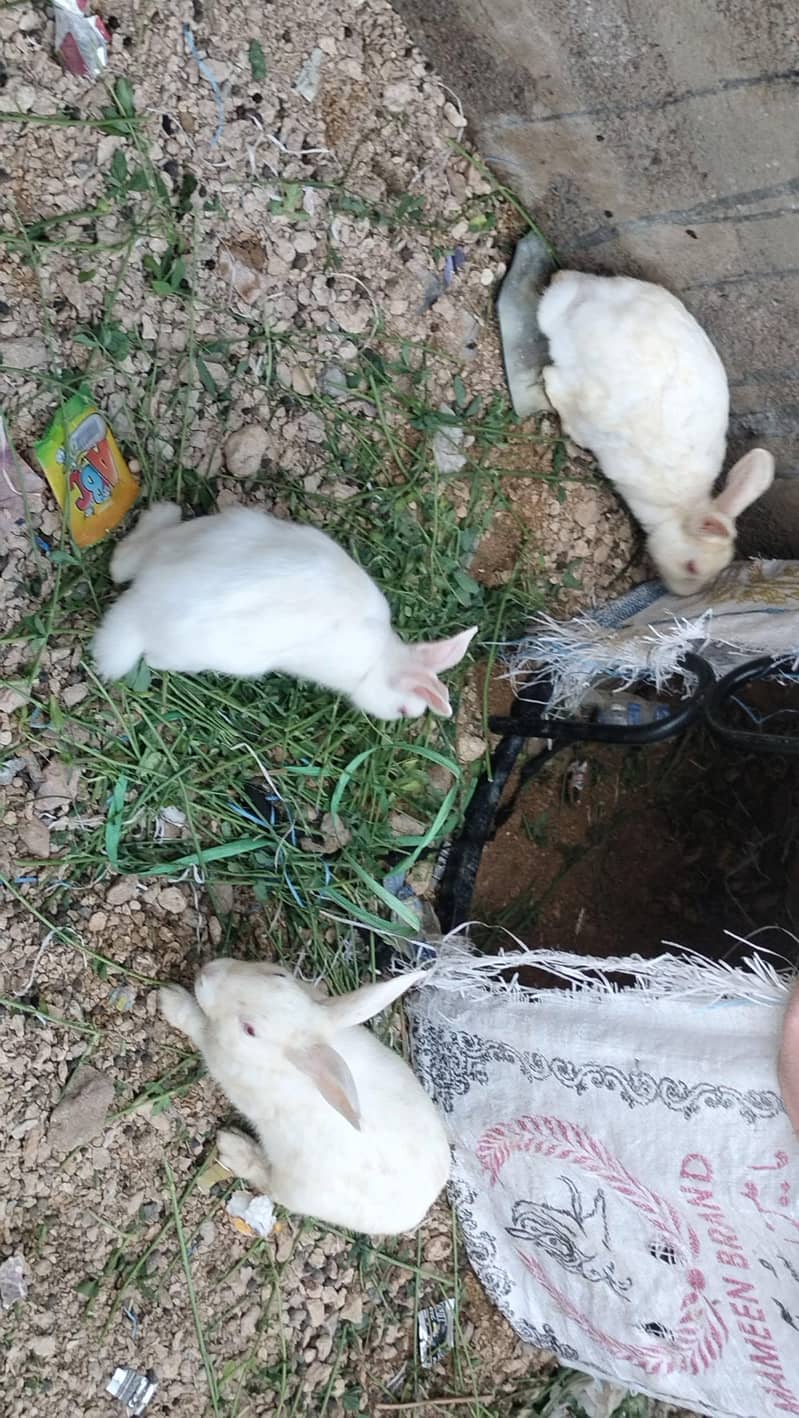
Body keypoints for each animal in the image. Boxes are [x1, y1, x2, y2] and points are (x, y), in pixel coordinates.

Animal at [92, 502, 477, 721]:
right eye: (402, 709)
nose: (399, 720)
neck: (380, 658)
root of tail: (146, 598)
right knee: (155, 656)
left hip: (202, 532)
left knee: (121, 563)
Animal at [159, 958, 450, 1235]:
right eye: (278, 974)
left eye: (249, 1029)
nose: (207, 974)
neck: (280, 1063)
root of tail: (418, 1209)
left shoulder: (218, 1055)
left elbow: (198, 1026)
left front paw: (170, 999)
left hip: (295, 1188)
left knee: (269, 1185)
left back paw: (233, 1145)